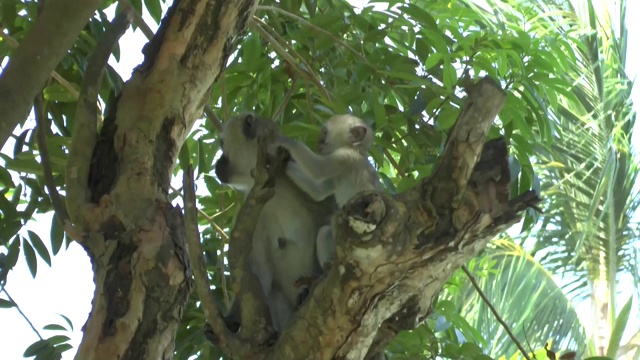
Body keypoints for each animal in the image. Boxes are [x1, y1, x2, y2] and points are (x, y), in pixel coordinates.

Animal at [212, 113, 338, 334]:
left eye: (221, 143)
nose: (217, 164)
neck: (277, 184)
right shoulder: (255, 211)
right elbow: (259, 271)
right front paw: (232, 320)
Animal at [272, 115, 384, 268]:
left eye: (324, 133)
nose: (319, 142)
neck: (356, 149)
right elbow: (318, 191)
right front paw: (285, 163)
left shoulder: (344, 156)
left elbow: (318, 169)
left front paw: (284, 141)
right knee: (324, 232)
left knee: (337, 217)